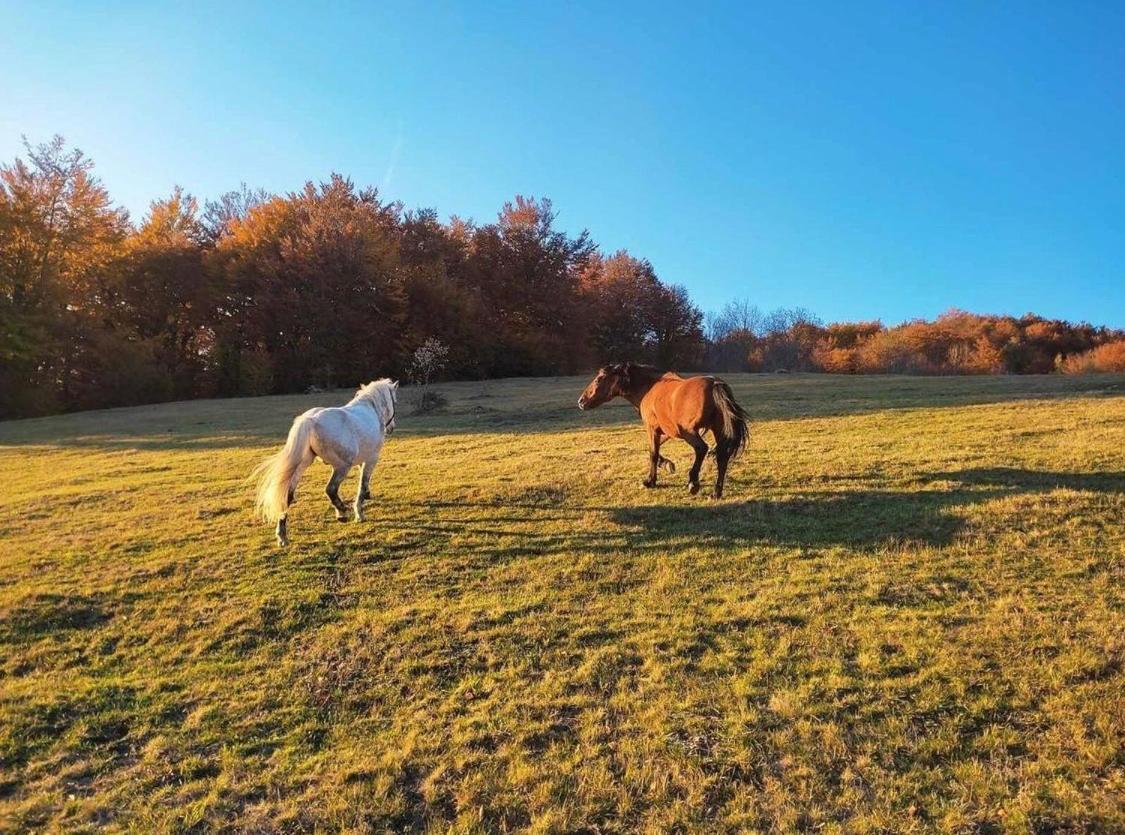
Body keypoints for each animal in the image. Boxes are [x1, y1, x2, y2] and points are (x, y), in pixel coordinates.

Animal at [257, 380, 398, 549]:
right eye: (395, 401)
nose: (391, 427)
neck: (371, 409)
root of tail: (311, 420)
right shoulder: (372, 458)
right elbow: (362, 485)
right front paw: (359, 513)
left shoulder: (362, 459)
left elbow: (363, 483)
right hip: (342, 467)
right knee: (330, 489)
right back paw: (342, 512)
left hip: (302, 465)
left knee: (287, 497)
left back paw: (282, 537)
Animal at [576, 364, 751, 497]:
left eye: (599, 379)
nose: (581, 401)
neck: (649, 388)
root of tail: (715, 384)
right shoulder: (668, 430)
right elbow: (656, 449)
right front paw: (666, 464)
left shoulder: (652, 429)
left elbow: (653, 453)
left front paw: (650, 481)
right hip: (718, 431)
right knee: (722, 458)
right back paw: (716, 492)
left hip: (689, 432)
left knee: (702, 448)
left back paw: (693, 483)